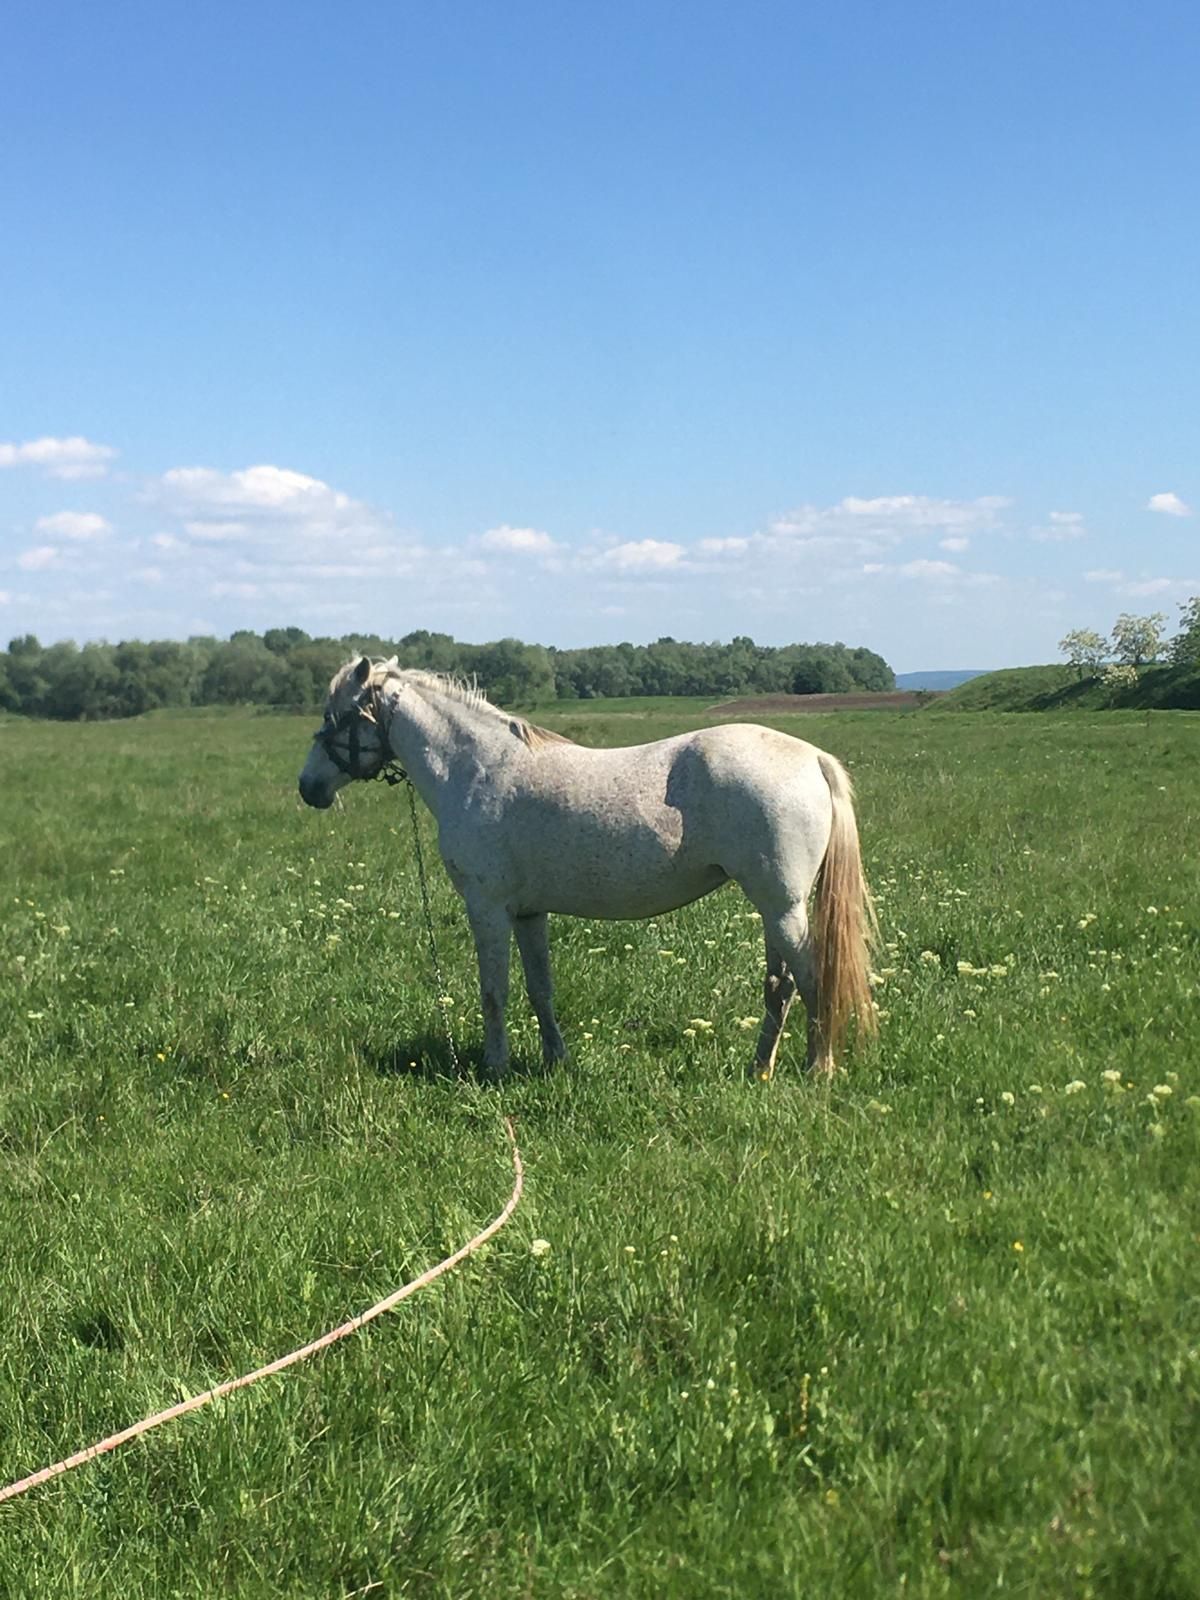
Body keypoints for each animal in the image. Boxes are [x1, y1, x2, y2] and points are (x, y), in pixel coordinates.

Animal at [299, 656, 876, 1081]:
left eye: (333, 716)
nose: (309, 788)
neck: (480, 768)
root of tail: (812, 758)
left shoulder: (488, 908)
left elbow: (494, 991)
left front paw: (493, 1068)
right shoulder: (528, 913)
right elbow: (540, 988)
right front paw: (555, 1061)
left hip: (781, 906)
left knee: (810, 979)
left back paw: (818, 1070)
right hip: (776, 909)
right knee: (779, 986)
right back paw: (760, 1070)